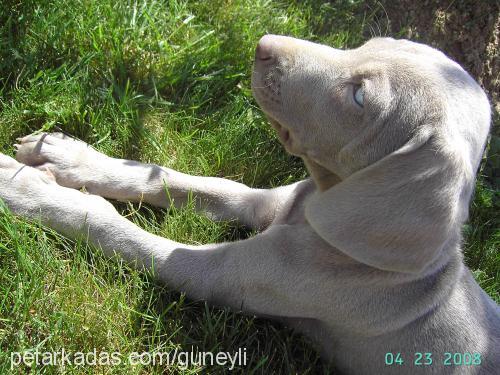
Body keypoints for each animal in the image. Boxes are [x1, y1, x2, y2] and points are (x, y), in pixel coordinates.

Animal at [0, 34, 500, 374]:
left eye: (360, 96)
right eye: (372, 43)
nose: (264, 44)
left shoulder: (215, 274)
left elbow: (109, 223)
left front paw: (24, 189)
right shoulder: (272, 200)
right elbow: (195, 184)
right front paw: (67, 157)